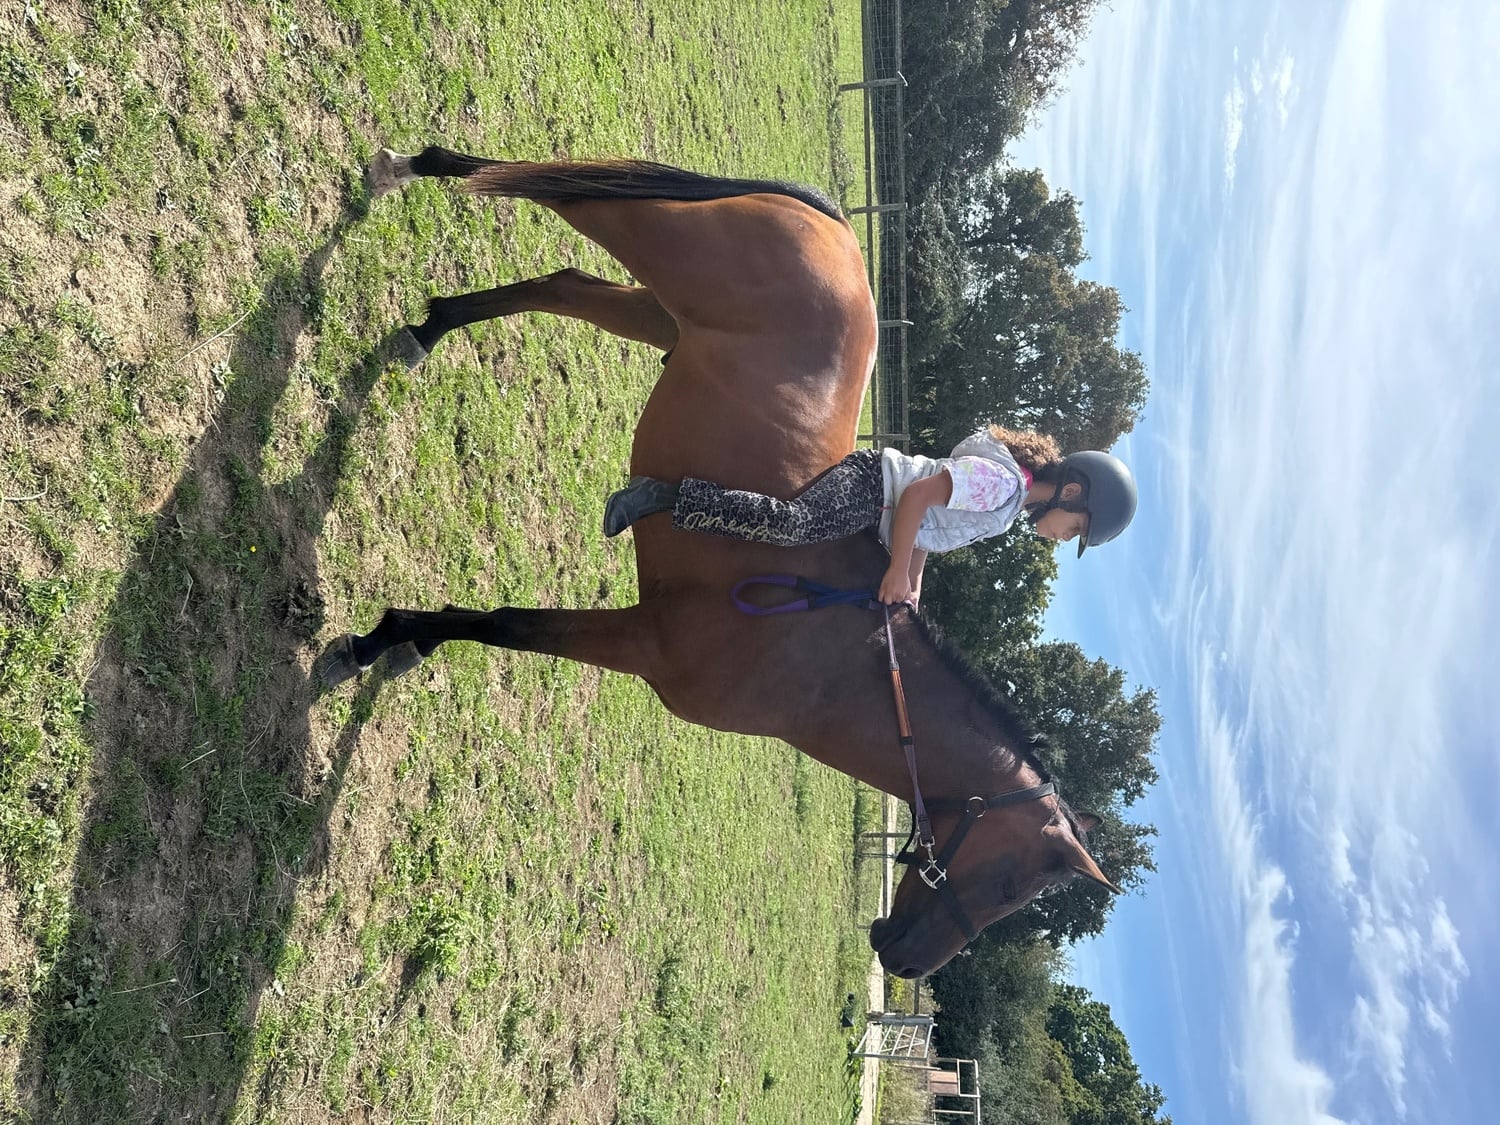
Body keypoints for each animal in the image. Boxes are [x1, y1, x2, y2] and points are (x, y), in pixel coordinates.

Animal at [317, 144, 1119, 978]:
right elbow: (504, 623)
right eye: (1007, 887)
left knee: (564, 283)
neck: (834, 659)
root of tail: (838, 231)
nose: (905, 963)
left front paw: (400, 642)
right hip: (656, 242)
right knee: (544, 187)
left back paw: (429, 323)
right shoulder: (646, 641)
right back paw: (409, 169)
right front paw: (378, 639)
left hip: (657, 309)